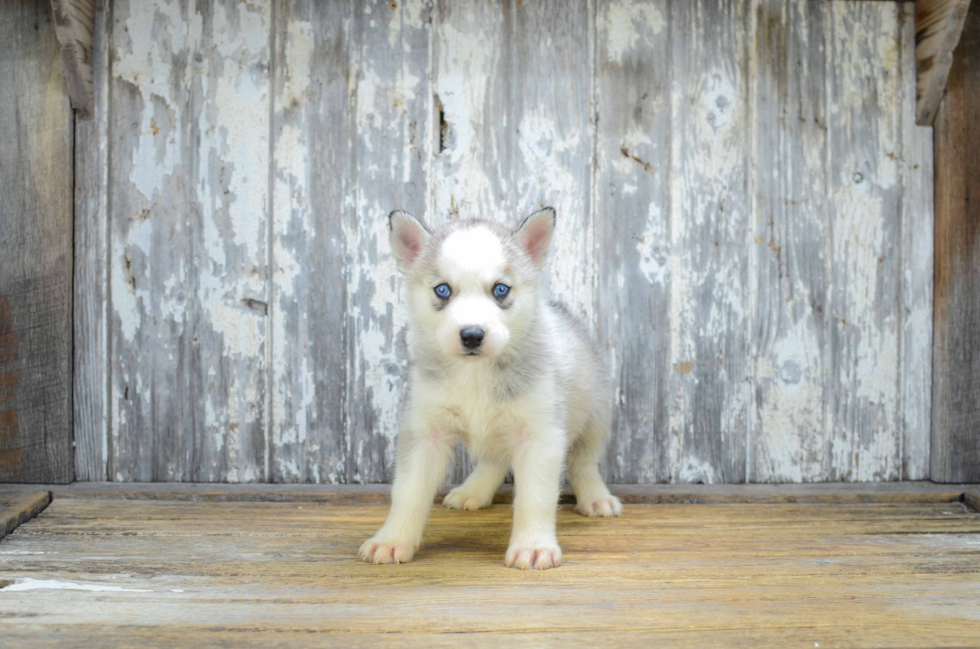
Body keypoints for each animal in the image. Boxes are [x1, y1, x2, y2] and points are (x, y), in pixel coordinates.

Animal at [358, 206, 620, 568]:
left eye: (501, 289)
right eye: (442, 290)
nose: (471, 335)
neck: (475, 374)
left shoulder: (541, 436)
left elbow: (535, 497)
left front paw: (533, 545)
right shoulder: (425, 433)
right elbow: (407, 492)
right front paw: (393, 539)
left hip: (594, 417)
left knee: (584, 463)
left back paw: (596, 498)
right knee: (494, 460)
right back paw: (475, 489)